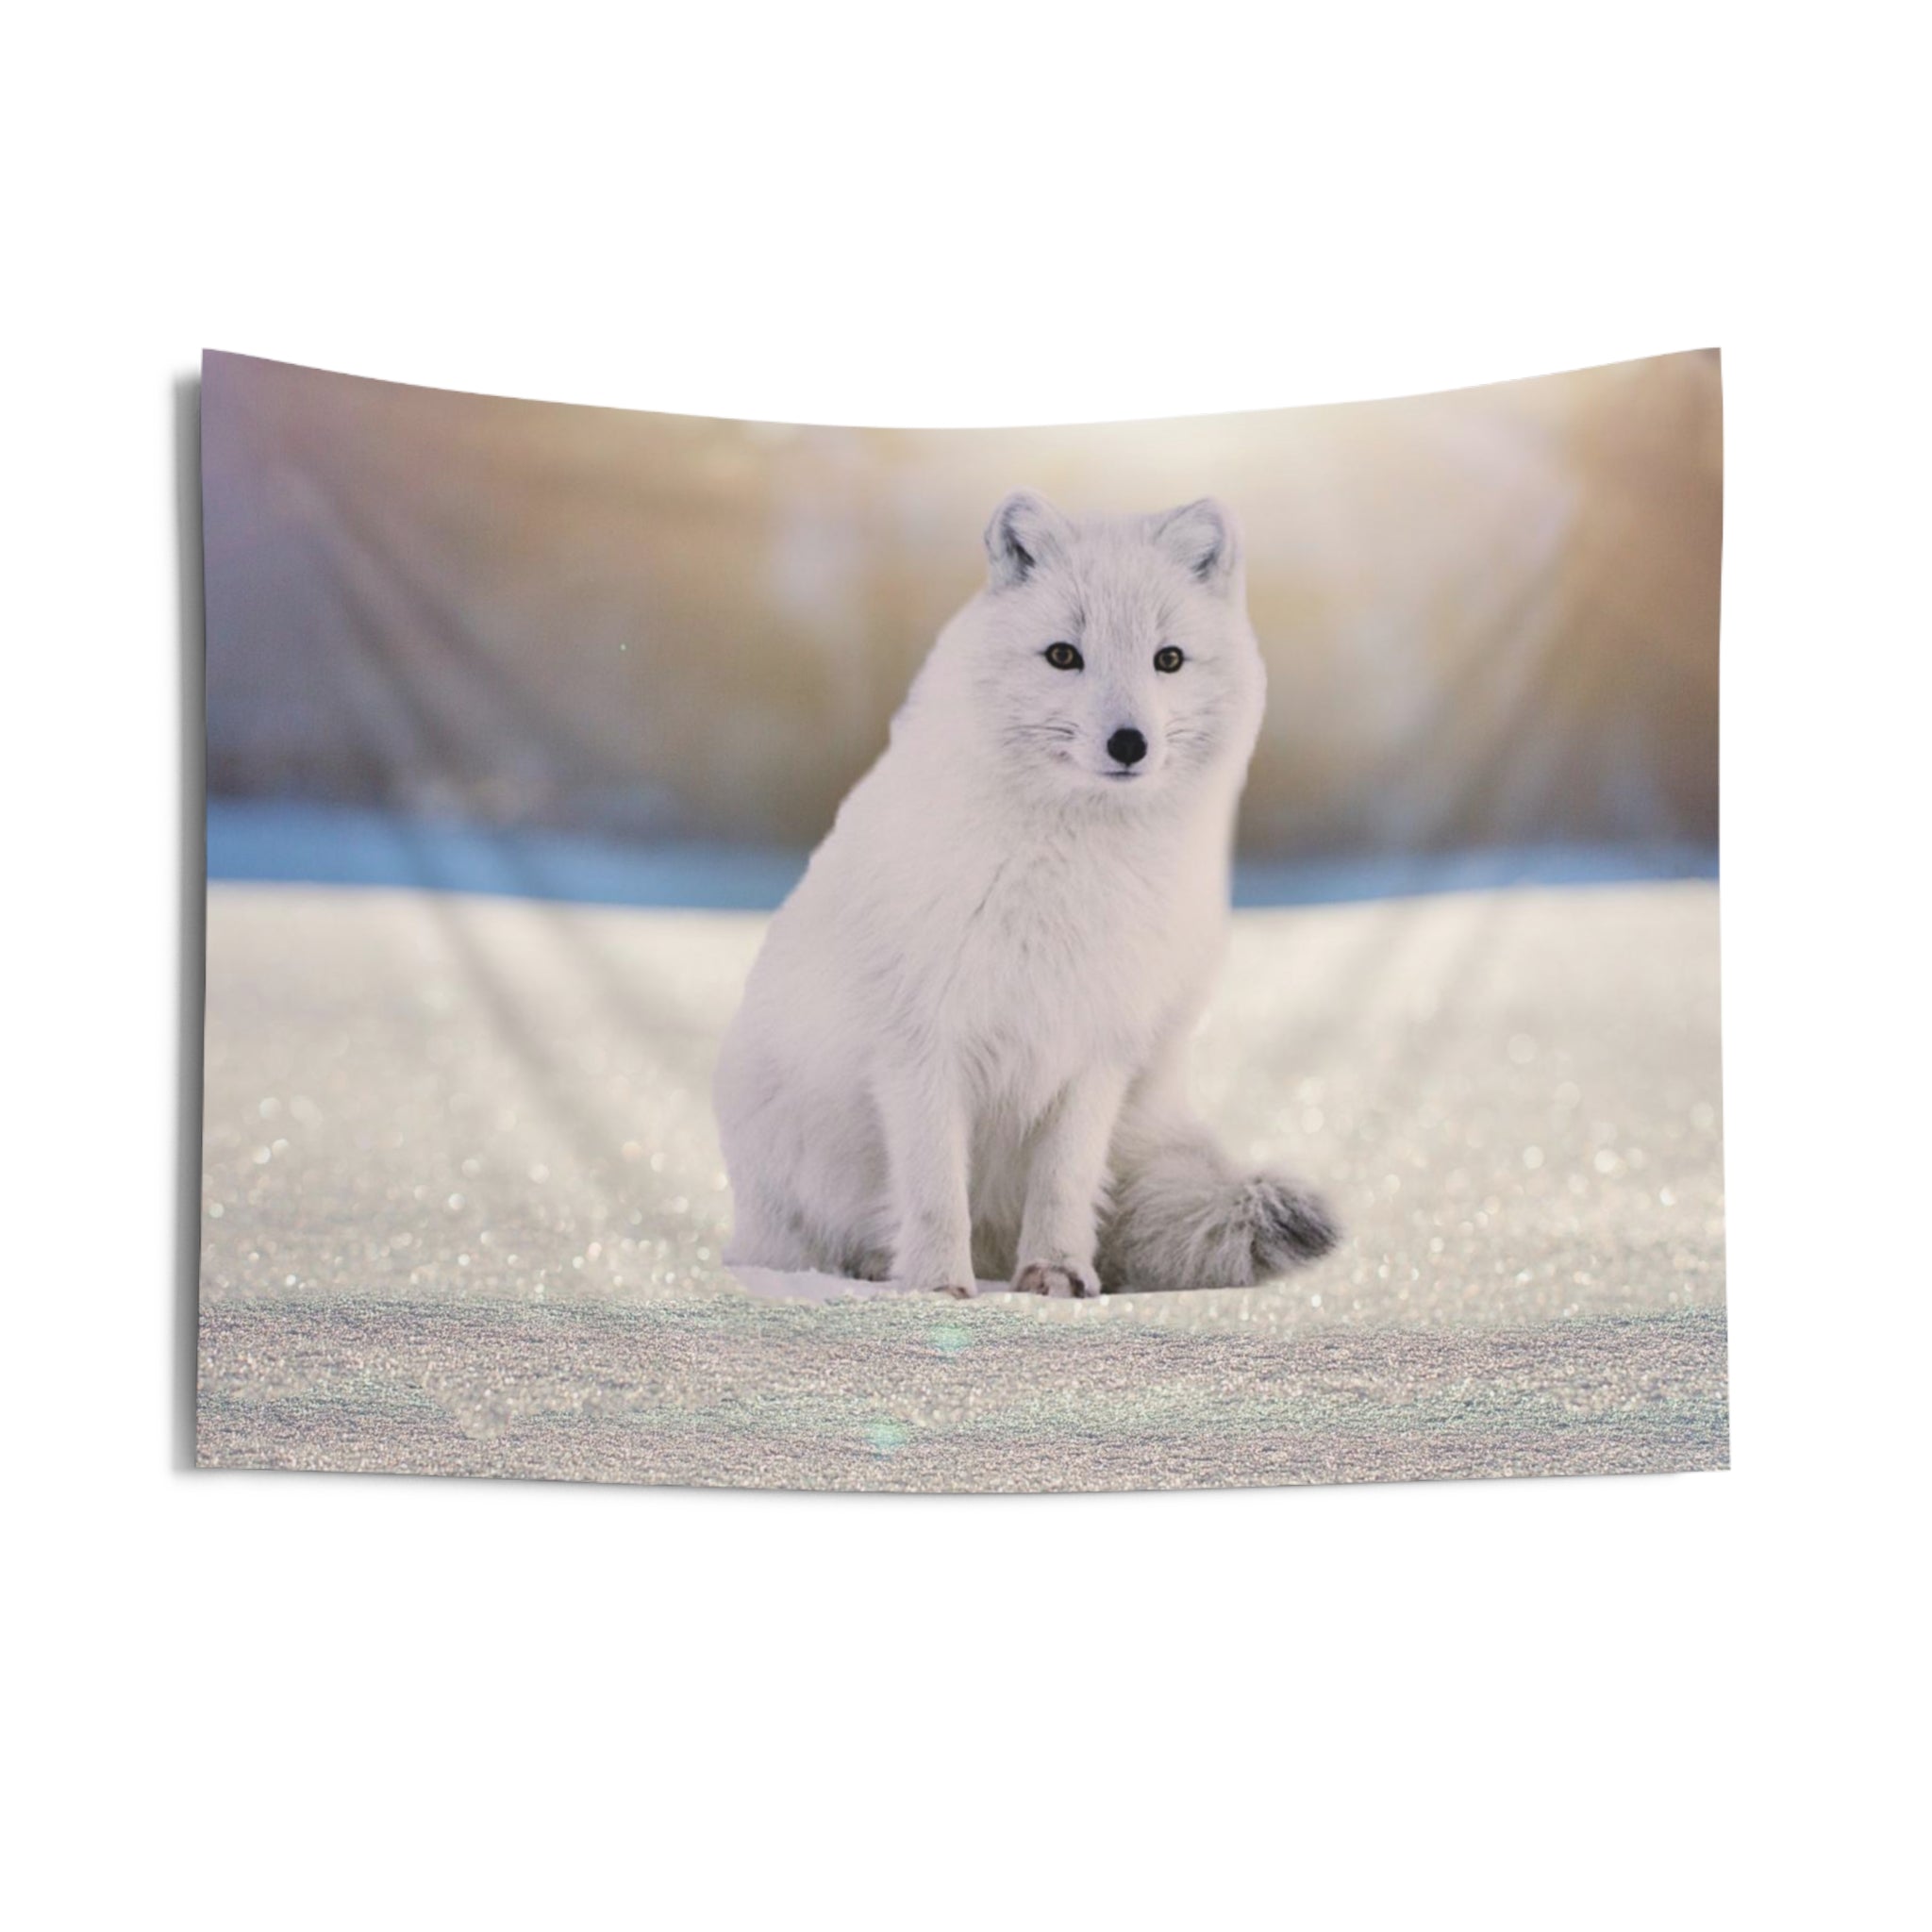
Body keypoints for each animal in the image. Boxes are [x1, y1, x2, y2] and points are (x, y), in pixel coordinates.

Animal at [713, 489, 1339, 1298]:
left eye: (1168, 659)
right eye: (1064, 655)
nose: (1130, 743)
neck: (1067, 874)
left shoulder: (1096, 1048)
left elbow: (1065, 1180)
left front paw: (1057, 1273)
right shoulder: (920, 1043)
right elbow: (932, 1186)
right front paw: (936, 1287)